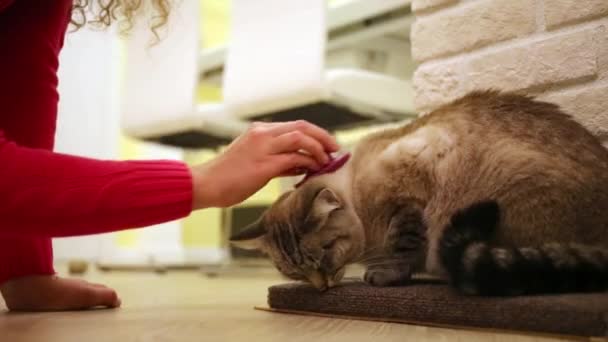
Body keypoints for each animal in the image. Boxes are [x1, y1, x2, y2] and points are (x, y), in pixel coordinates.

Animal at [227, 91, 608, 296]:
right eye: (294, 272)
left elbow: (402, 246)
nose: (320, 287)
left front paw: (384, 275)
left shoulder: (411, 191)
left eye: (326, 254)